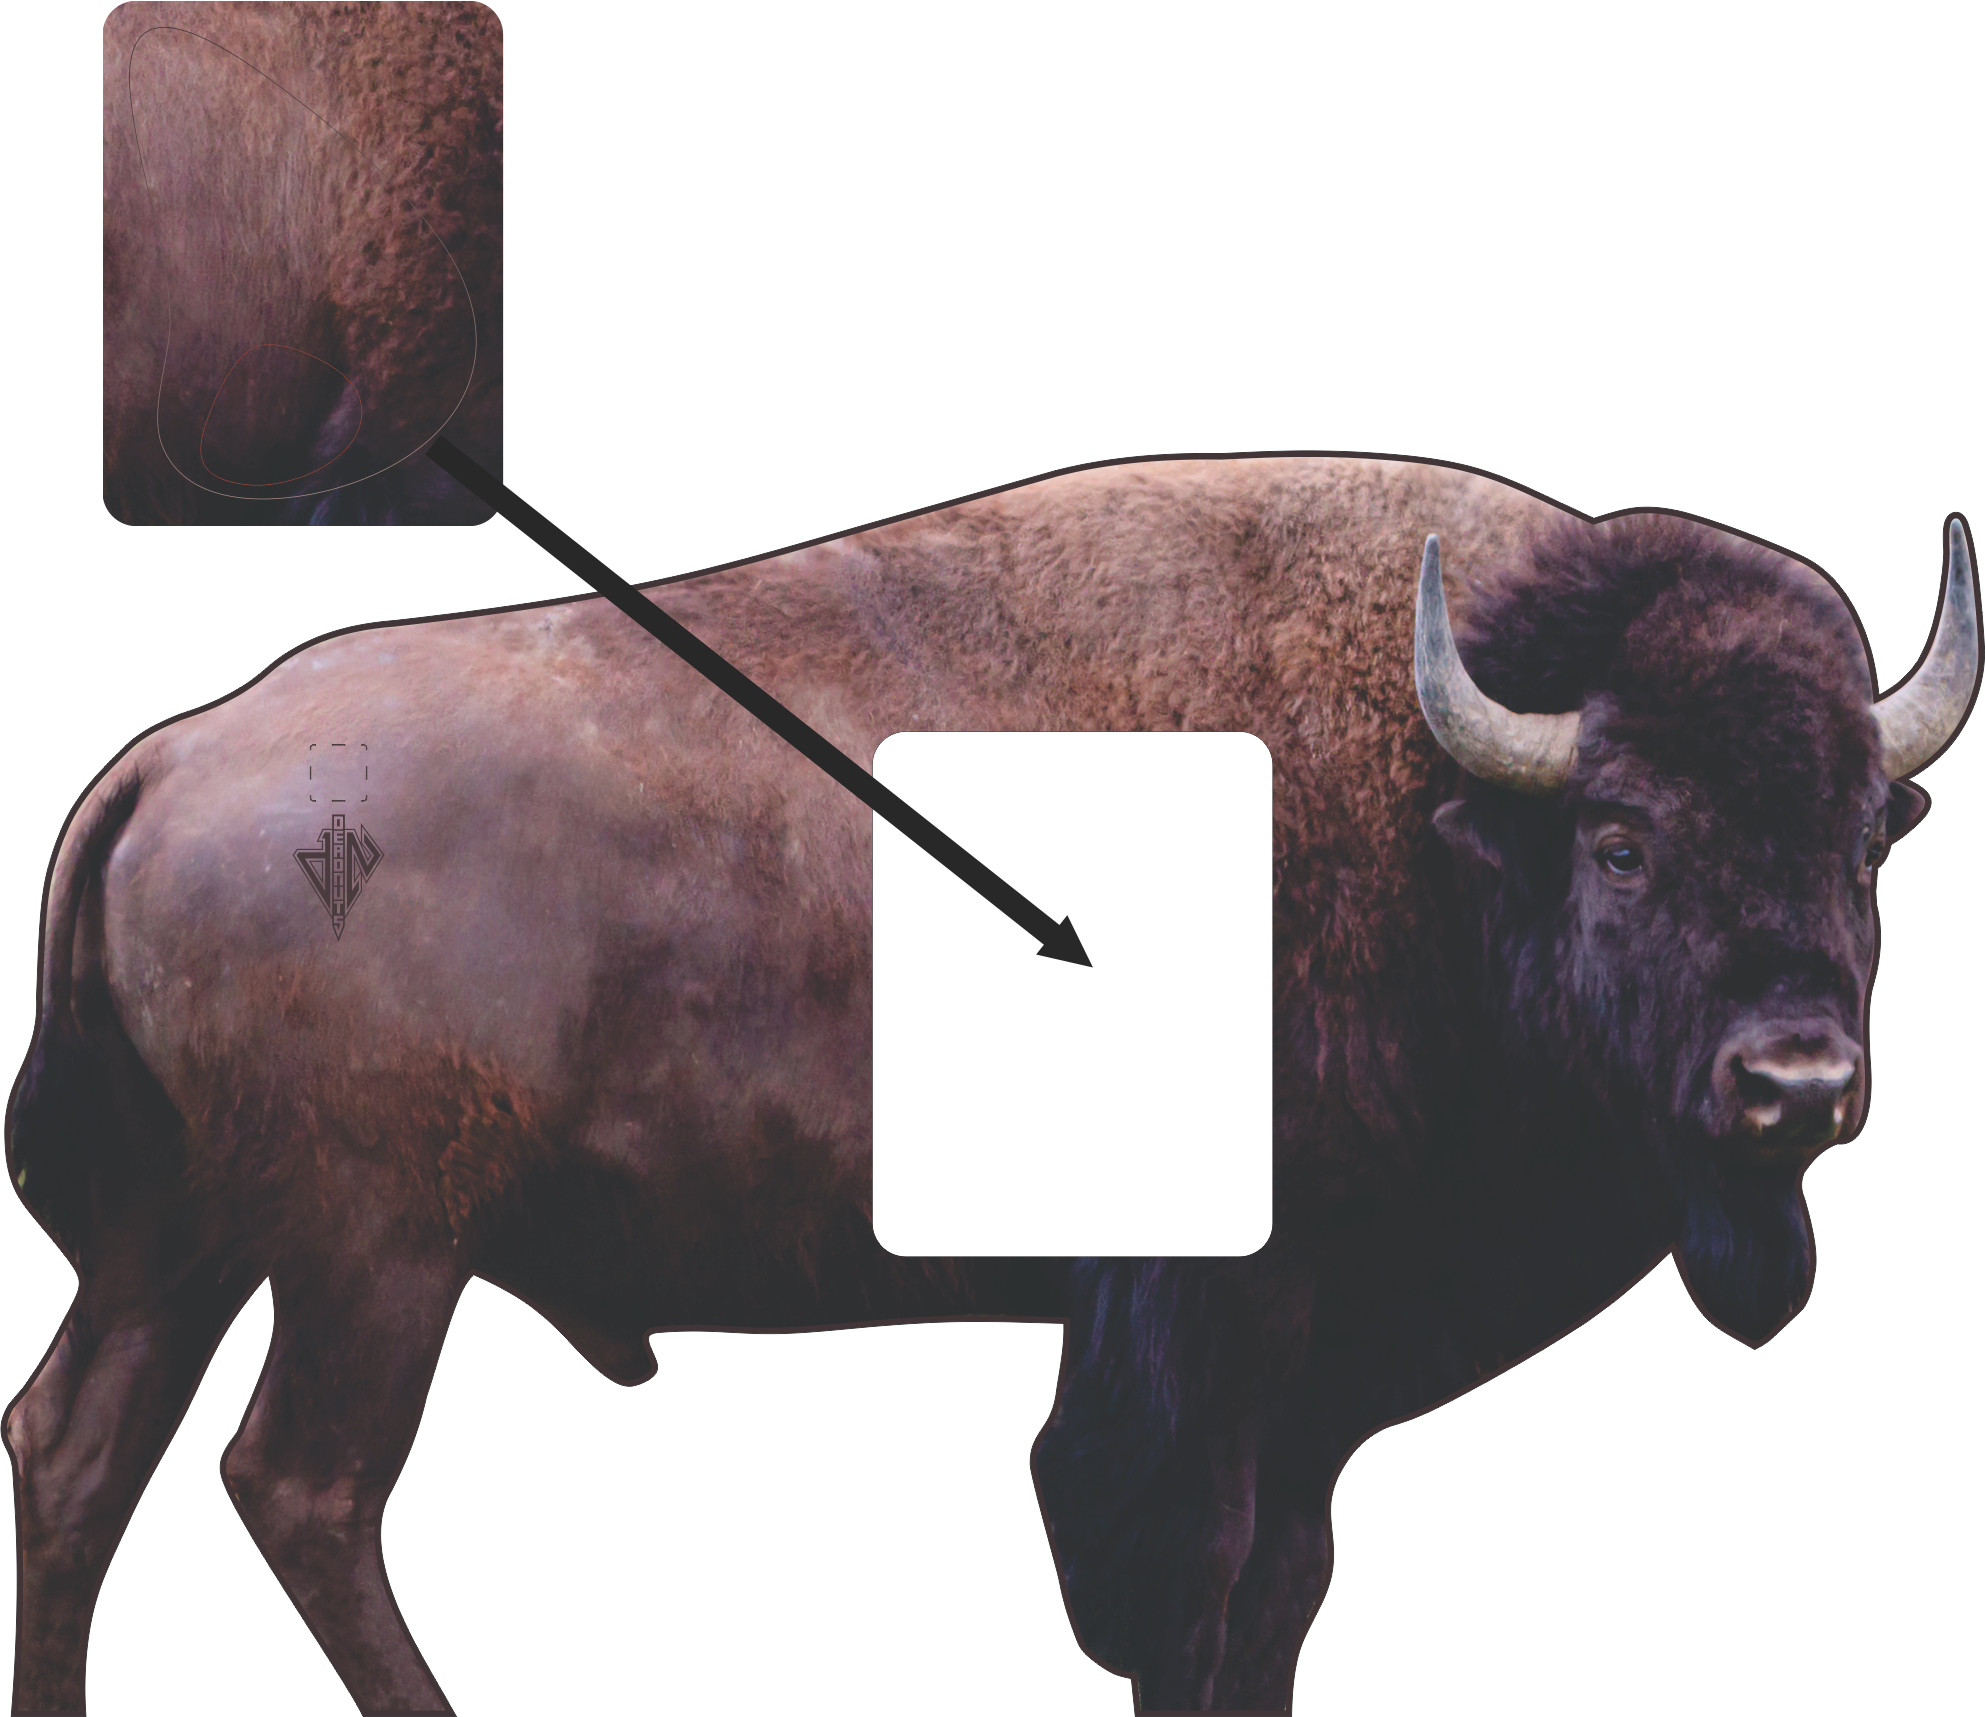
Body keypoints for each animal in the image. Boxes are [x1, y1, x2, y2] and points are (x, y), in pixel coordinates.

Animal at [6, 456, 1978, 1714]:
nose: (1796, 1081)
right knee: (301, 1482)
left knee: (79, 1448)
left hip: (190, 1240)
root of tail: (171, 758)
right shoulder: (1202, 1341)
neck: (1438, 820)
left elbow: (1278, 1597)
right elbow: (1184, 1586)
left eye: (1869, 839)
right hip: (373, 1253)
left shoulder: (1317, 1376)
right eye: (1625, 839)